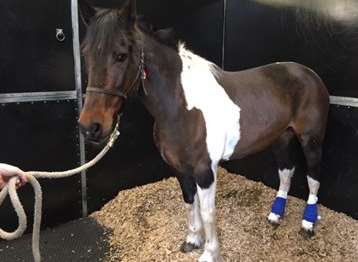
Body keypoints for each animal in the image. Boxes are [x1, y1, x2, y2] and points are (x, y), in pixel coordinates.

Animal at [78, 1, 330, 260]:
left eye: (121, 55)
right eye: (86, 54)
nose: (90, 126)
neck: (182, 107)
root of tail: (308, 73)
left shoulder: (204, 170)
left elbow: (208, 212)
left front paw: (210, 252)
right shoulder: (180, 169)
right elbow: (190, 203)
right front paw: (192, 240)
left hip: (311, 141)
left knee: (313, 177)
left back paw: (308, 223)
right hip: (281, 138)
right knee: (286, 172)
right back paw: (275, 215)